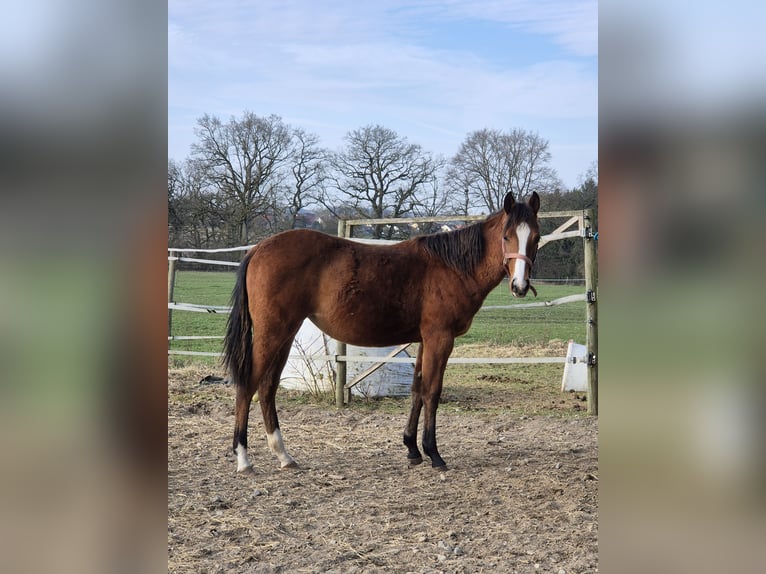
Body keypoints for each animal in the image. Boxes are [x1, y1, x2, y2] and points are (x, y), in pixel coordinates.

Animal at [222, 191, 540, 474]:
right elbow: (432, 391)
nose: (519, 286)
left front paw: (412, 449)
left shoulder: (424, 341)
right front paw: (434, 454)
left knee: (267, 387)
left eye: (535, 237)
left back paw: (284, 456)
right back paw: (244, 459)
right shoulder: (440, 339)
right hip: (272, 333)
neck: (451, 267)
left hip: (285, 335)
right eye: (506, 236)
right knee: (248, 385)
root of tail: (258, 249)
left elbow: (417, 390)